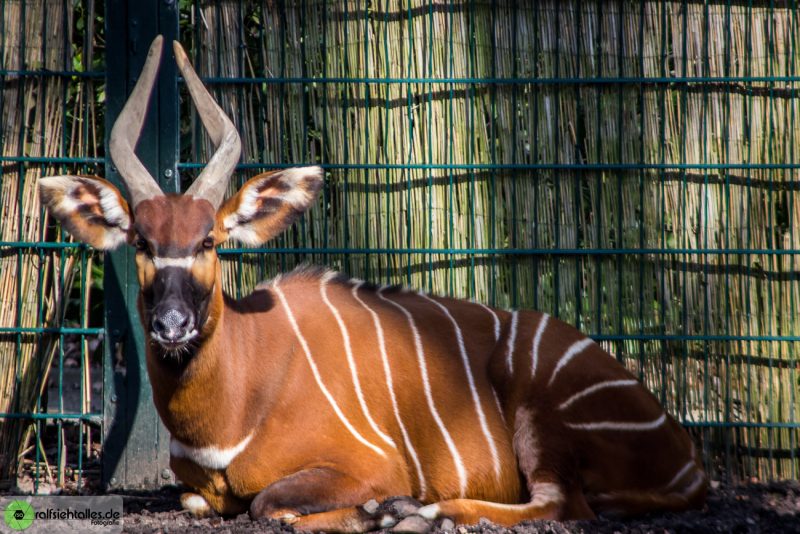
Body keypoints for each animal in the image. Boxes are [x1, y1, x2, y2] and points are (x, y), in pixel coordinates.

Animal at [39, 37, 708, 532]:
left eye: (209, 240)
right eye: (143, 244)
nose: (172, 325)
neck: (235, 402)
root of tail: (689, 458)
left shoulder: (369, 465)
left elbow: (268, 505)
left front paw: (375, 511)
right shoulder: (200, 490)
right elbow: (202, 501)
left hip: (542, 423)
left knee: (562, 504)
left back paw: (420, 512)